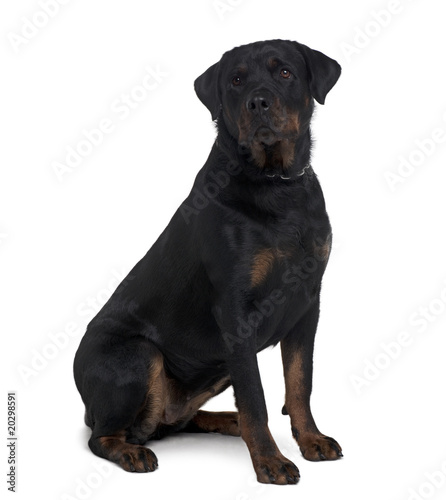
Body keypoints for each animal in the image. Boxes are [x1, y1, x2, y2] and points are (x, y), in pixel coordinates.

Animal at [75, 39, 344, 484]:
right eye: (235, 79)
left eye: (285, 72)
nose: (258, 101)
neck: (275, 185)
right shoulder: (235, 309)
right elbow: (254, 395)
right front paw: (270, 461)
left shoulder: (308, 303)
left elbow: (299, 382)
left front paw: (311, 440)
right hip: (139, 356)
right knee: (103, 436)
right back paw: (132, 452)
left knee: (173, 421)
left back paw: (225, 421)